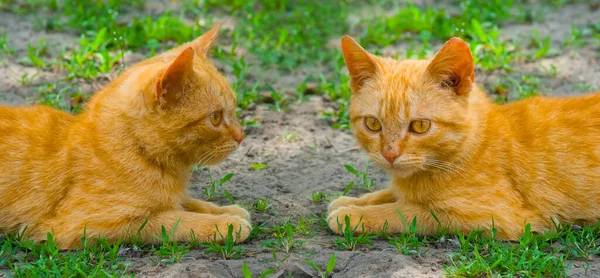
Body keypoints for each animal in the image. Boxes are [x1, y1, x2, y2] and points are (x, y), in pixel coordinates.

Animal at [0, 23, 251, 249]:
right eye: (215, 117)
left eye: (233, 110)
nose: (242, 136)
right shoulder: (80, 226)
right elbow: (175, 219)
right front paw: (225, 224)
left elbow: (190, 204)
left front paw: (225, 210)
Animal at [328, 34, 600, 239]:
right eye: (373, 124)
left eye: (420, 126)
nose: (390, 154)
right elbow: (390, 194)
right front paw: (353, 201)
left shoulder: (498, 218)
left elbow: (406, 211)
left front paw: (353, 215)